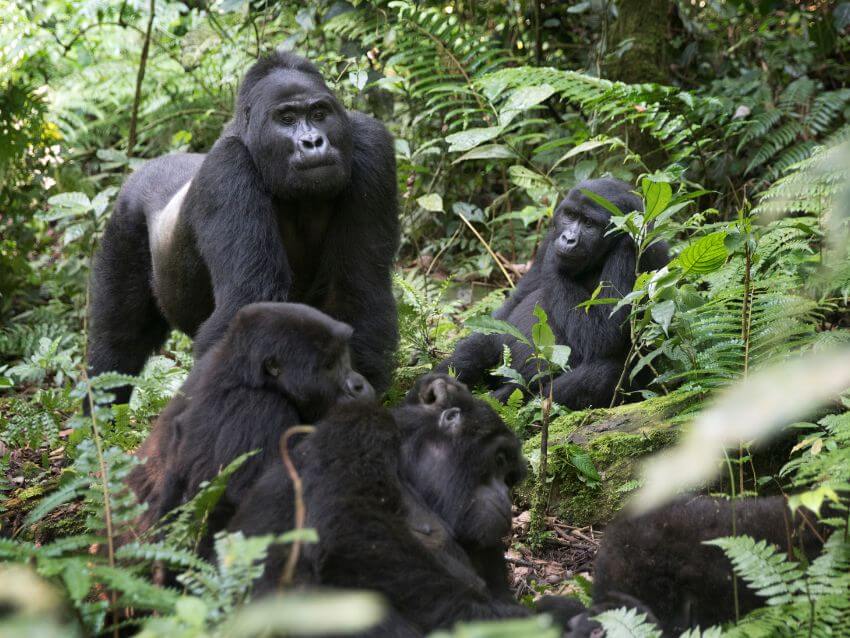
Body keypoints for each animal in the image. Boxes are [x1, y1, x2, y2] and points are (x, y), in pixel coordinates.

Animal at [88, 50, 400, 404]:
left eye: (319, 114)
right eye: (287, 119)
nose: (312, 142)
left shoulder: (372, 146)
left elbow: (355, 287)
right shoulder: (228, 169)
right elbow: (248, 303)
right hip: (124, 218)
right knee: (118, 342)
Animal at [438, 179, 668, 410]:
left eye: (589, 223)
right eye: (570, 215)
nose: (568, 239)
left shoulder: (633, 245)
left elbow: (605, 335)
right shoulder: (549, 238)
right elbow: (506, 313)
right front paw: (453, 367)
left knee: (605, 373)